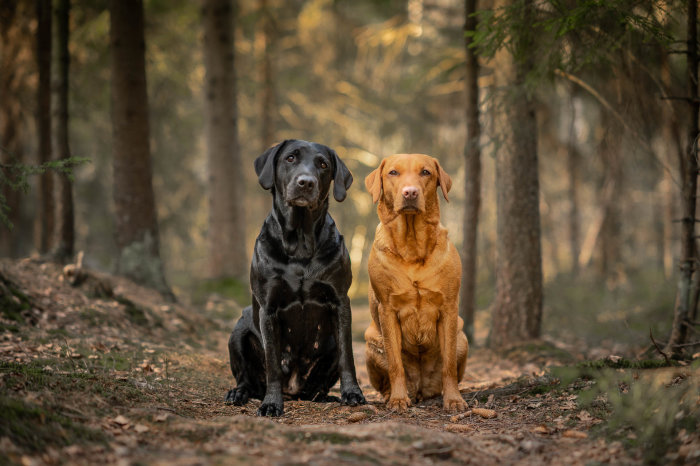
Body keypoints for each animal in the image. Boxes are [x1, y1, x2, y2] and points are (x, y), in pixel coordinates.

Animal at [224, 140, 366, 416]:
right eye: (290, 158)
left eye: (323, 164)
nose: (306, 182)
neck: (300, 244)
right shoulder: (268, 308)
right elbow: (273, 364)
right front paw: (271, 403)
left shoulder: (340, 302)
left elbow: (348, 356)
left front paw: (352, 393)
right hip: (238, 331)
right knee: (246, 379)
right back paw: (238, 393)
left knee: (318, 385)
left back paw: (325, 396)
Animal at [364, 153, 468, 412]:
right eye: (393, 172)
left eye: (425, 172)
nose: (410, 192)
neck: (411, 245)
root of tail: (421, 388)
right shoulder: (387, 310)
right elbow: (395, 364)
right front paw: (398, 399)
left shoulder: (449, 308)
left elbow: (449, 365)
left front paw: (454, 399)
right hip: (371, 343)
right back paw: (391, 395)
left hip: (462, 336)